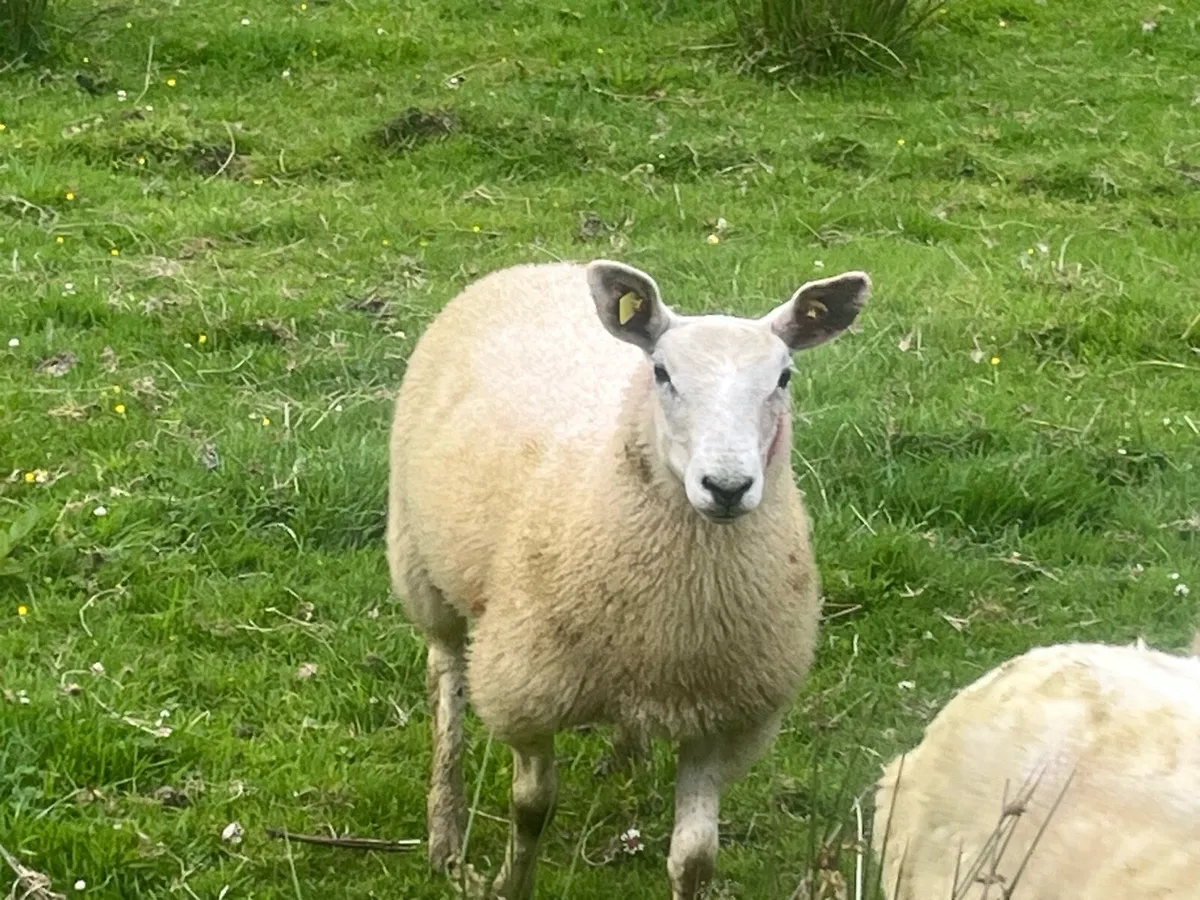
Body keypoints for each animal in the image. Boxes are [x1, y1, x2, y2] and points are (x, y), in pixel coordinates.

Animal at [386, 259, 871, 899]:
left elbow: (695, 858)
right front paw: (509, 883)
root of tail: (538, 264)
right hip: (418, 564)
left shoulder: (723, 718)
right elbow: (532, 807)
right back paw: (444, 831)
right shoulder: (523, 692)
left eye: (784, 378)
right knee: (445, 679)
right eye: (661, 373)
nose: (727, 487)